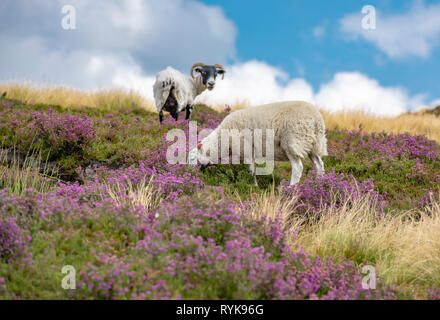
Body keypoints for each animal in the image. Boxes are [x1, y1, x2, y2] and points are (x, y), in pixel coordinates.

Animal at [187, 100, 328, 185]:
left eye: (192, 158)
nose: (189, 174)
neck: (222, 140)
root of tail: (317, 119)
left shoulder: (247, 148)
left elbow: (252, 169)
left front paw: (253, 185)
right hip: (314, 144)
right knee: (319, 164)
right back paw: (320, 183)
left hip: (294, 142)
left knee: (298, 168)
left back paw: (291, 188)